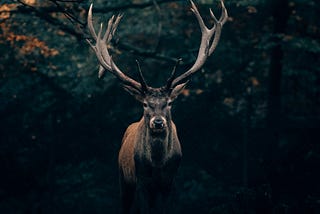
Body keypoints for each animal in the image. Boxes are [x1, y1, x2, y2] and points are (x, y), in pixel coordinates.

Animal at [86, 0, 229, 213]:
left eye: (169, 103)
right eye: (145, 104)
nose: (158, 122)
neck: (158, 165)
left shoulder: (169, 183)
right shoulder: (142, 181)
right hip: (123, 179)